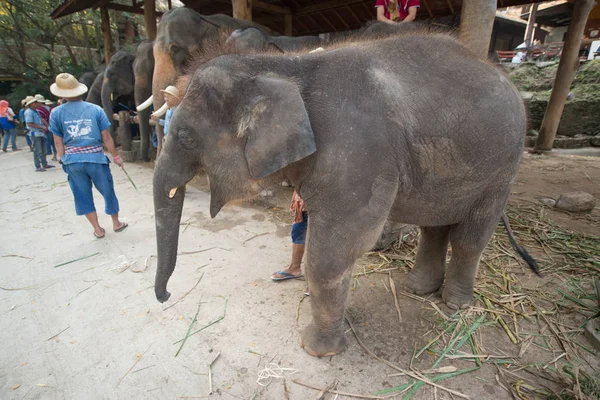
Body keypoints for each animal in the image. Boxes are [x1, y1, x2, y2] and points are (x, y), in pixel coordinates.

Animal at [154, 26, 536, 356]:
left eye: (186, 136)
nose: (166, 295)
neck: (285, 66)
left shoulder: (359, 153)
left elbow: (335, 251)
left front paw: (316, 350)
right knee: (435, 226)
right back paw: (419, 289)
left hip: (505, 165)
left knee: (470, 236)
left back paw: (455, 303)